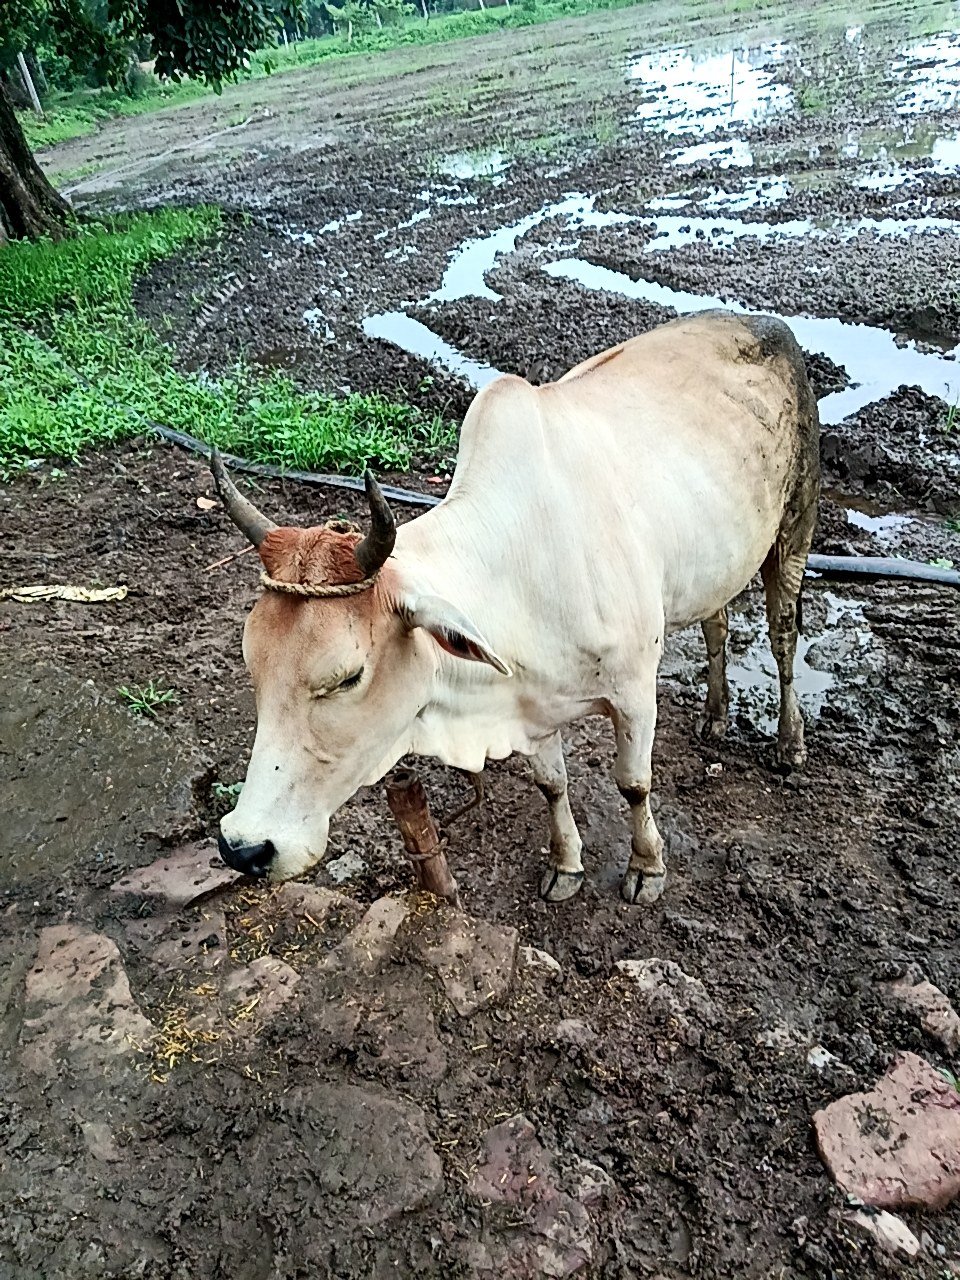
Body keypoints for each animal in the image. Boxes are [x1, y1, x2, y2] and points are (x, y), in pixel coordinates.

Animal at [213, 309, 819, 904]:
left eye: (347, 677)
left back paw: (790, 742)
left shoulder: (634, 692)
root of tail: (768, 325)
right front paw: (566, 865)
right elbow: (551, 784)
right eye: (251, 666)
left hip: (795, 529)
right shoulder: (530, 701)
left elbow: (634, 784)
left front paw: (647, 868)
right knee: (717, 625)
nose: (244, 848)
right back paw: (715, 716)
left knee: (783, 638)